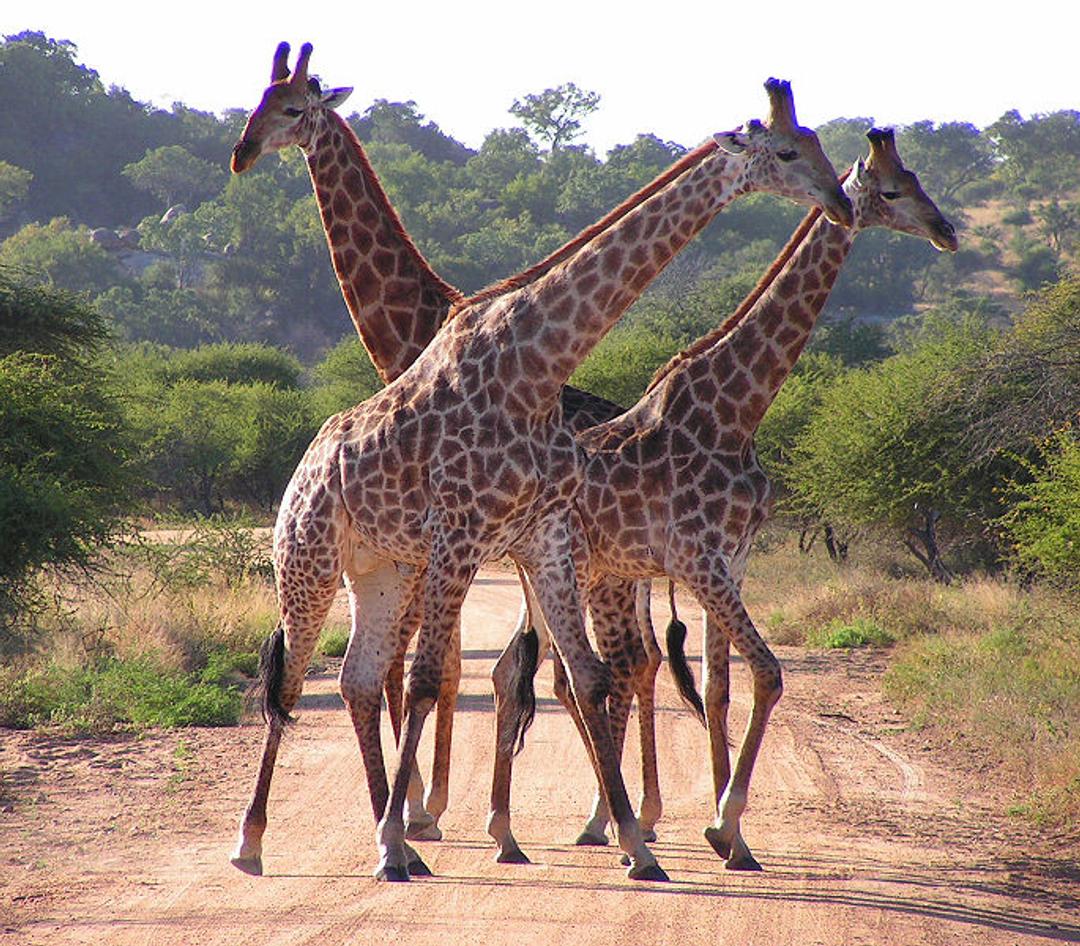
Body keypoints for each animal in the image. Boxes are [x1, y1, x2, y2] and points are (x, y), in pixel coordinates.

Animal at [228, 42, 852, 883]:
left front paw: (617, 842)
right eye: (787, 151)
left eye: (291, 107)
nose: (840, 201)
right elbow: (441, 675)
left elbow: (558, 676)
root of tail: (300, 471)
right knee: (292, 677)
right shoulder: (462, 537)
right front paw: (426, 827)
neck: (532, 362)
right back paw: (255, 842)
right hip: (311, 561)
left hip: (400, 569)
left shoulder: (536, 541)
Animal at [491, 127, 957, 870]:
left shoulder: (731, 561)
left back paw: (539, 829)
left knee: (551, 672)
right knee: (567, 676)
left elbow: (720, 685)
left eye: (916, 180)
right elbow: (768, 672)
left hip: (576, 579)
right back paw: (568, 828)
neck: (736, 413)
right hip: (588, 577)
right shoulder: (698, 560)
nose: (946, 231)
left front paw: (733, 837)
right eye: (890, 191)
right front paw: (721, 824)